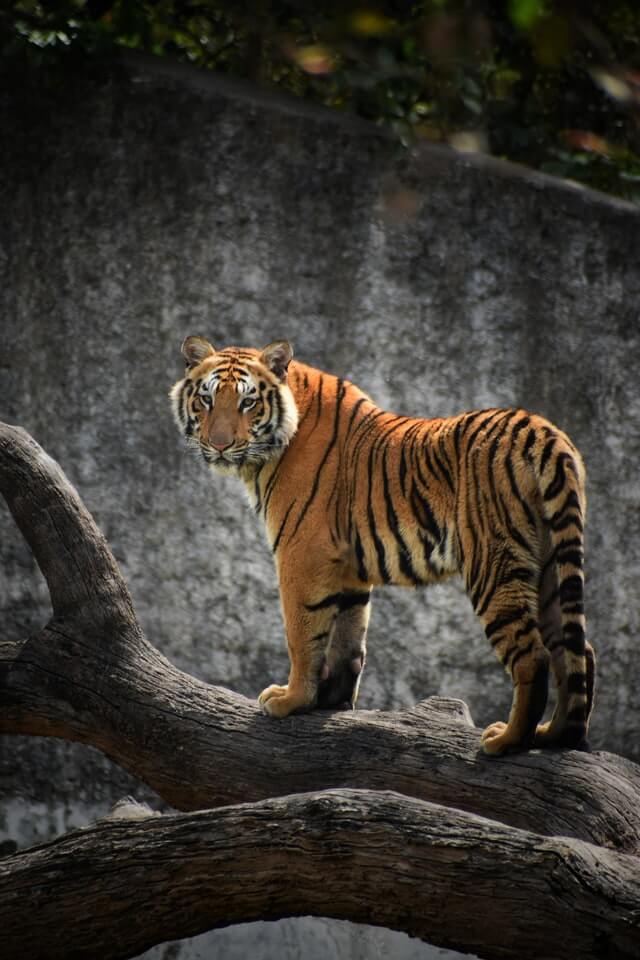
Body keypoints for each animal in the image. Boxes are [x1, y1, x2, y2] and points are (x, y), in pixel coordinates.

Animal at [171, 334, 596, 752]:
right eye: (207, 399)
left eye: (248, 402)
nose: (220, 444)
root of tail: (543, 431)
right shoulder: (347, 566)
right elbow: (348, 637)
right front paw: (331, 702)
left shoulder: (301, 554)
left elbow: (303, 633)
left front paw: (291, 700)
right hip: (549, 564)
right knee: (576, 651)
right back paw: (555, 735)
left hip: (493, 563)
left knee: (534, 655)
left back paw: (505, 741)